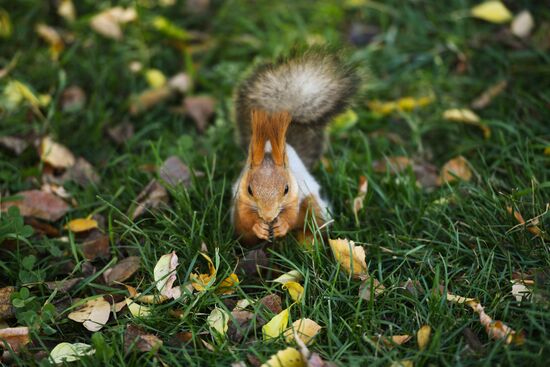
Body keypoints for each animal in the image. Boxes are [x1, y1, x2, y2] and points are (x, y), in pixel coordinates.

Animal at [231, 50, 360, 246]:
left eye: (286, 189)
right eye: (250, 190)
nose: (268, 216)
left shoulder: (296, 196)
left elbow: (293, 216)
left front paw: (283, 225)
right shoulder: (241, 202)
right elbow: (246, 219)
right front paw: (258, 226)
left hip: (314, 205)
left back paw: (309, 242)